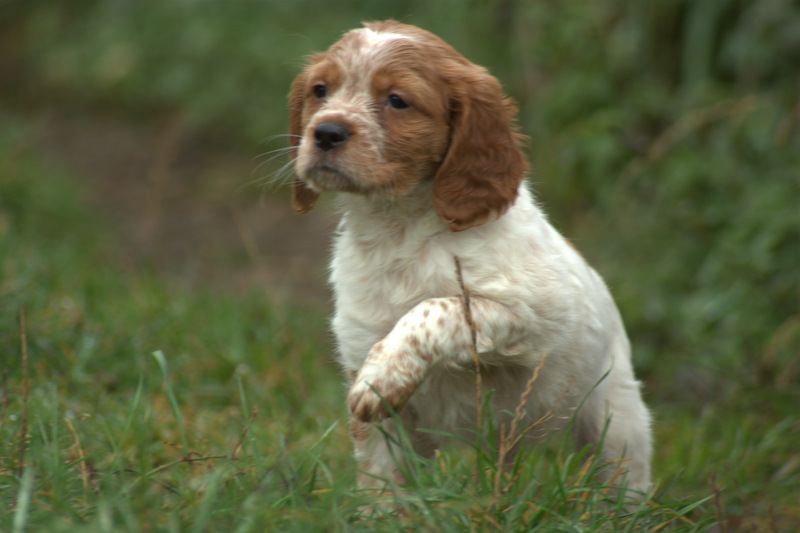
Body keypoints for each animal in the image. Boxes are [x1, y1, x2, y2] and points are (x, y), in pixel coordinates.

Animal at [287, 20, 652, 493]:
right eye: (320, 90)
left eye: (397, 100)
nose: (326, 132)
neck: (399, 226)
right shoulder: (364, 360)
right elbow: (383, 483)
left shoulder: (536, 316)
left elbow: (438, 308)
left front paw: (381, 376)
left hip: (618, 423)